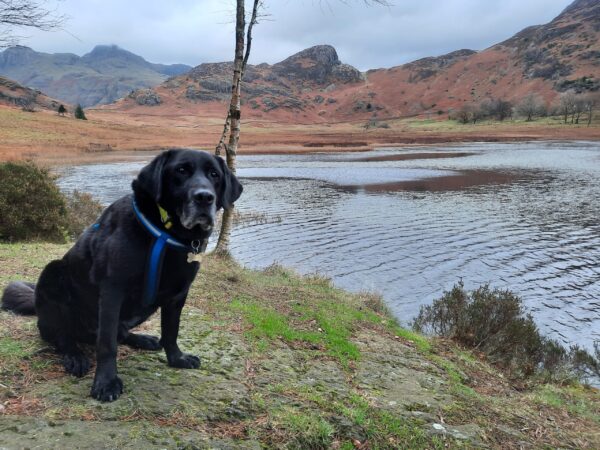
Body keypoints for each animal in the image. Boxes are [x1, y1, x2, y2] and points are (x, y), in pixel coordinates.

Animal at [2, 149, 241, 402]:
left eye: (214, 175)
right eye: (181, 170)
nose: (204, 197)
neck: (165, 233)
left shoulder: (177, 295)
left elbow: (171, 331)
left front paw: (177, 359)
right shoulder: (113, 290)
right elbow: (107, 344)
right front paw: (106, 382)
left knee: (121, 332)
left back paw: (143, 339)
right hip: (52, 274)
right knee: (63, 336)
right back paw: (75, 356)